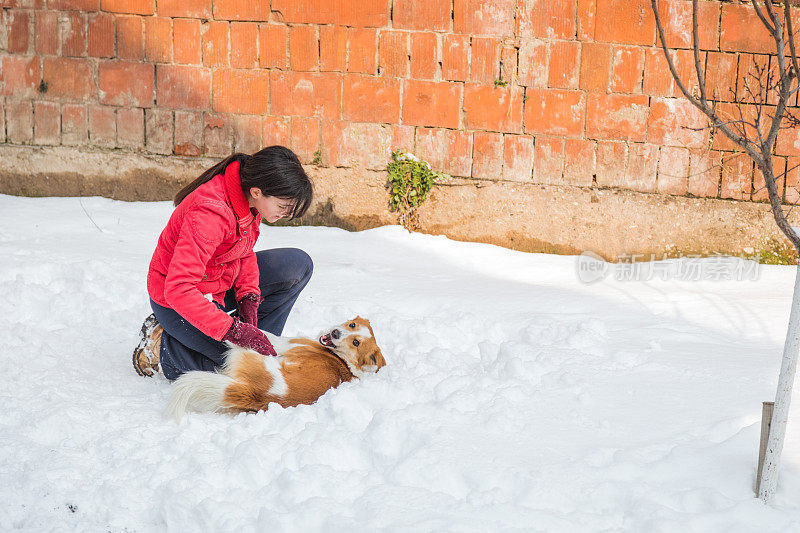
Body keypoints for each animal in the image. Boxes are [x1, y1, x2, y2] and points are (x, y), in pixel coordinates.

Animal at [165, 316, 384, 420]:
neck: (342, 360)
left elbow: (262, 332)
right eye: (352, 324)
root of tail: (255, 392)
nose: (336, 333)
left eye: (356, 342)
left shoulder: (284, 343)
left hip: (251, 353)